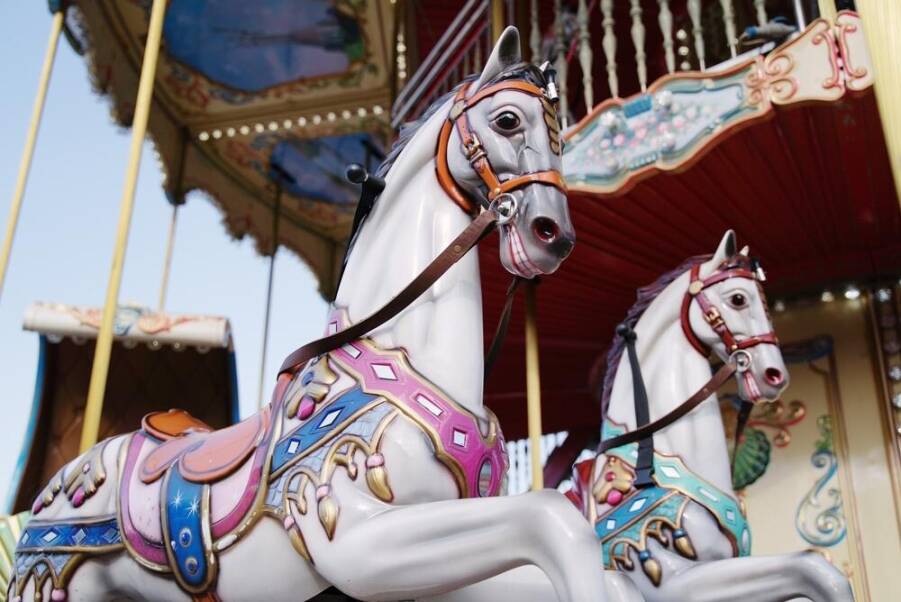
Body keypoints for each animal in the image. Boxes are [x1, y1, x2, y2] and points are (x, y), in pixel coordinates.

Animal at [10, 28, 622, 602]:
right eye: (507, 120)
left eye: (561, 134)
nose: (553, 234)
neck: (404, 359)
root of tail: (61, 481)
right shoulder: (351, 537)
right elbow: (555, 519)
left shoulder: (428, 578)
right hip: (42, 580)